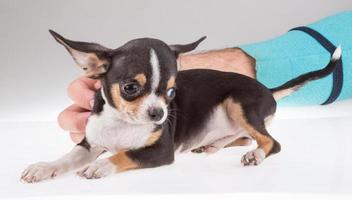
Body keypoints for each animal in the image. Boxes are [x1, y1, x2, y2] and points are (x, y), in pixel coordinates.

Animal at [20, 30, 340, 183]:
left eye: (172, 91)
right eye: (130, 88)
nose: (159, 114)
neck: (124, 124)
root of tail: (267, 89)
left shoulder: (161, 151)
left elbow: (124, 155)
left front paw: (100, 166)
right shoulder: (90, 142)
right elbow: (68, 158)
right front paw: (44, 168)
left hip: (238, 103)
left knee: (269, 141)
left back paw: (255, 155)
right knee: (245, 136)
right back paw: (211, 145)